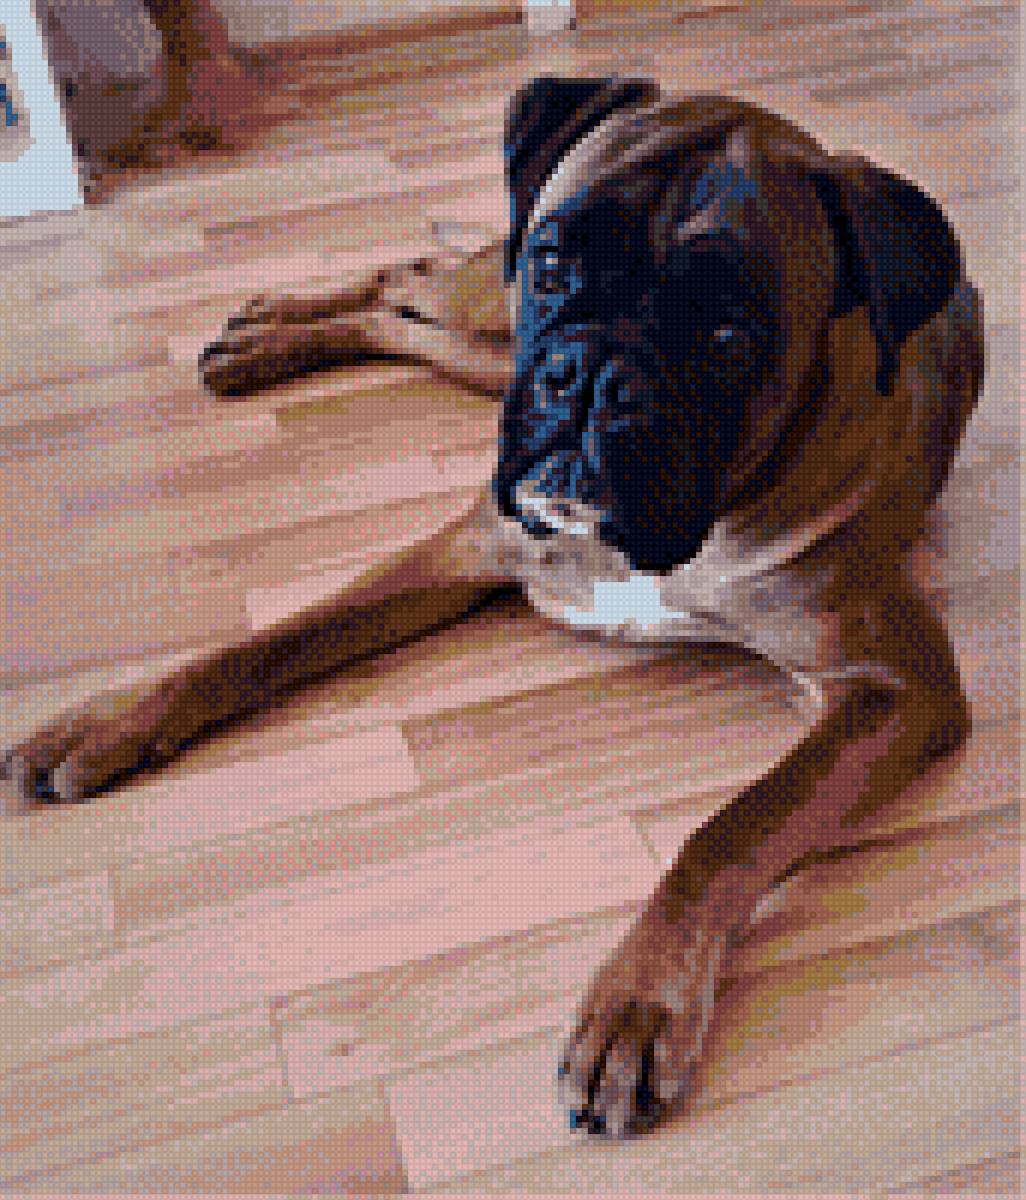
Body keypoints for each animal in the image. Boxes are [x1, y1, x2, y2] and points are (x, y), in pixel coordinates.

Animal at [2, 78, 984, 1139]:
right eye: (555, 266)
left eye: (729, 337)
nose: (591, 375)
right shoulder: (465, 548)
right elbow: (268, 643)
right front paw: (111, 720)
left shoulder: (893, 688)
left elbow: (731, 830)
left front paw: (640, 1002)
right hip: (490, 325)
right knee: (410, 281)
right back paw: (270, 332)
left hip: (480, 358)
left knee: (408, 315)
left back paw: (268, 338)